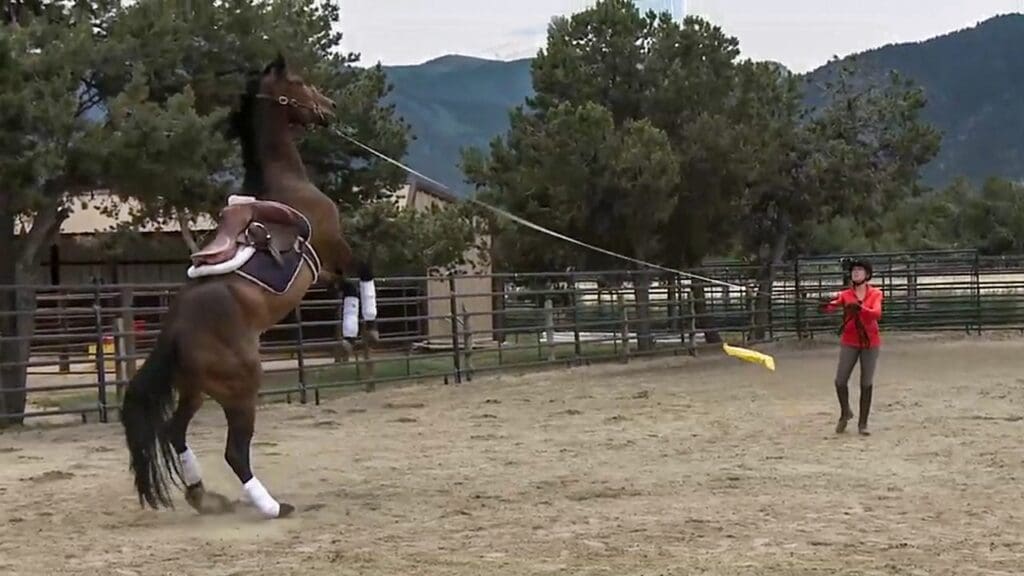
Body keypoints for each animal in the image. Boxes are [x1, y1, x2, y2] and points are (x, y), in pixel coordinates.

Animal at [121, 54, 378, 519]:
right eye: (298, 82)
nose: (329, 108)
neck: (286, 185)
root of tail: (174, 332)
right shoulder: (336, 248)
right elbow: (363, 270)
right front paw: (369, 324)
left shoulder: (321, 272)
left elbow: (347, 287)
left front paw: (348, 338)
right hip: (241, 389)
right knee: (234, 452)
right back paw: (272, 506)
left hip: (196, 389)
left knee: (175, 432)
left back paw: (202, 495)